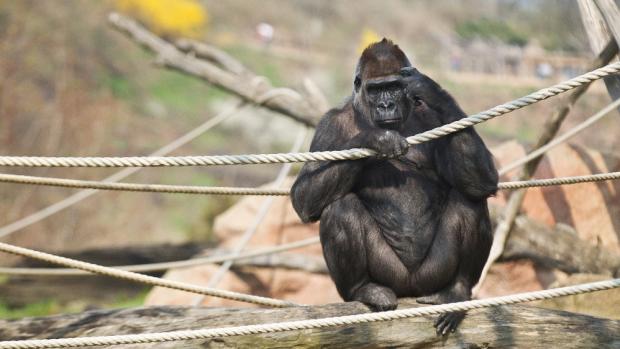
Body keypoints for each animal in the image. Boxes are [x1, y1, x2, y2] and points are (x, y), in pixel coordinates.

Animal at [290, 38, 498, 334]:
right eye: (376, 90)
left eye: (394, 87)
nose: (386, 104)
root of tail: (409, 289)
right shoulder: (329, 124)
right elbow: (304, 197)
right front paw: (375, 139)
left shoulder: (435, 117)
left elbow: (482, 181)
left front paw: (430, 89)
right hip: (390, 276)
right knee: (341, 207)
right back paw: (363, 289)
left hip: (433, 276)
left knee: (470, 198)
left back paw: (457, 291)